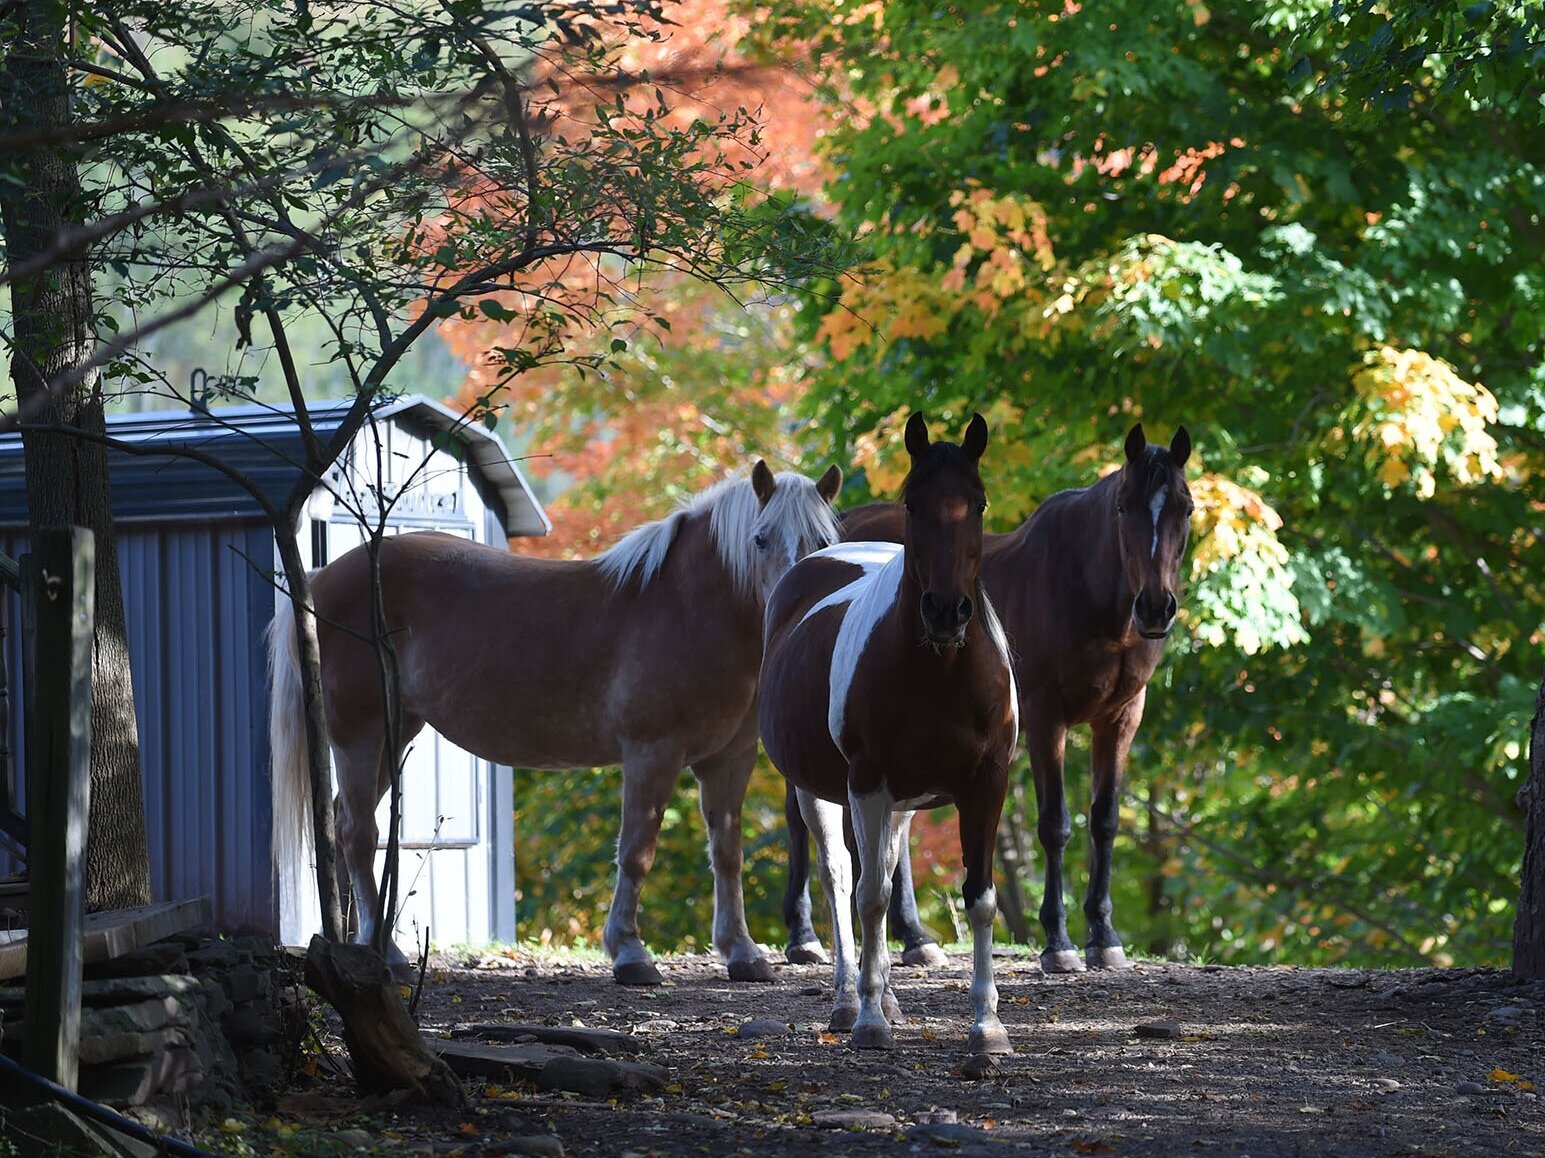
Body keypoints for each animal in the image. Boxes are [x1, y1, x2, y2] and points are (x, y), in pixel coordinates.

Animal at [268, 461, 842, 985]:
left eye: (823, 540)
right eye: (760, 539)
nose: (790, 602)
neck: (686, 606)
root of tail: (321, 578)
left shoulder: (728, 760)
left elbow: (727, 853)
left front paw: (741, 953)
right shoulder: (652, 753)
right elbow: (637, 851)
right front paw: (630, 954)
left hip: (396, 730)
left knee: (345, 825)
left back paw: (361, 947)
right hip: (359, 732)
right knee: (357, 832)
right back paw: (384, 954)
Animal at [759, 413, 1019, 1051]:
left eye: (978, 502)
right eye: (912, 501)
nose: (946, 611)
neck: (939, 671)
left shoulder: (986, 783)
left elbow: (981, 899)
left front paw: (987, 1026)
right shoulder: (867, 780)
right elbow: (868, 894)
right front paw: (870, 1021)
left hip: (900, 803)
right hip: (823, 790)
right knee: (840, 879)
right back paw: (850, 1001)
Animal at [783, 423, 1193, 974]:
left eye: (1185, 509)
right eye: (1124, 507)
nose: (1154, 607)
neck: (1082, 593)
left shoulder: (1122, 716)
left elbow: (1104, 821)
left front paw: (1103, 936)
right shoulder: (1046, 719)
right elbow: (1055, 825)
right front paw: (1058, 942)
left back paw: (914, 937)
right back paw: (804, 936)